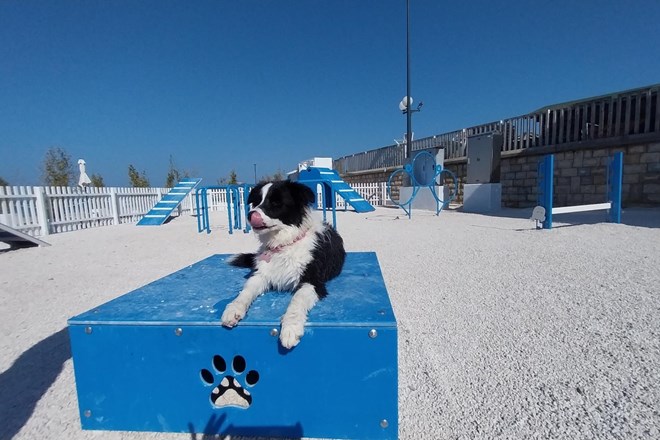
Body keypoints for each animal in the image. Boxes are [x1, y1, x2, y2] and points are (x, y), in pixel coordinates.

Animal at [222, 180, 346, 348]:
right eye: (256, 201)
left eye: (276, 203)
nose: (250, 214)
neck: (284, 244)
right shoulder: (261, 275)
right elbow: (245, 291)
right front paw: (233, 308)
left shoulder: (312, 282)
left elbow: (297, 300)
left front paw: (290, 328)